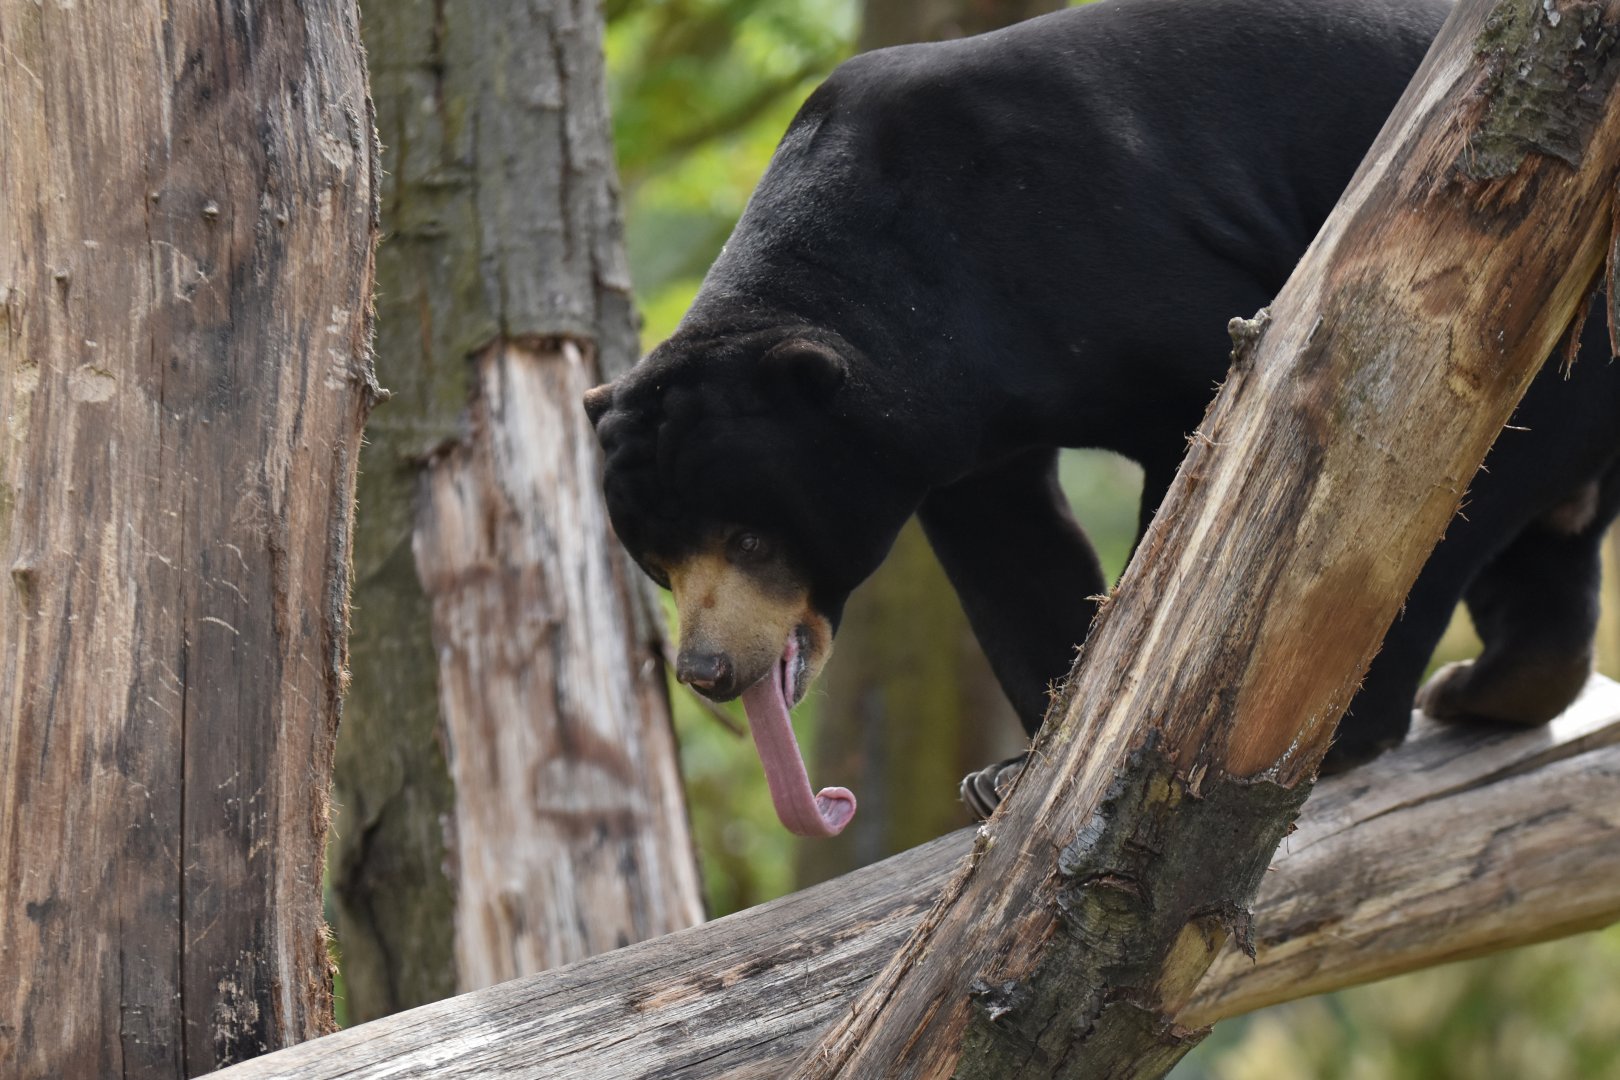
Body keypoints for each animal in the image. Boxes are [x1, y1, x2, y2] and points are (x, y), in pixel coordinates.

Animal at [585, 0, 1620, 836]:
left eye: (752, 538)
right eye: (659, 563)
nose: (709, 671)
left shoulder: (1109, 250)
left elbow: (1214, 444)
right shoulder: (958, 437)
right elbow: (1012, 550)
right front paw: (1012, 773)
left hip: (1520, 333)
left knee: (1427, 512)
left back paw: (1356, 728)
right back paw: (1506, 686)